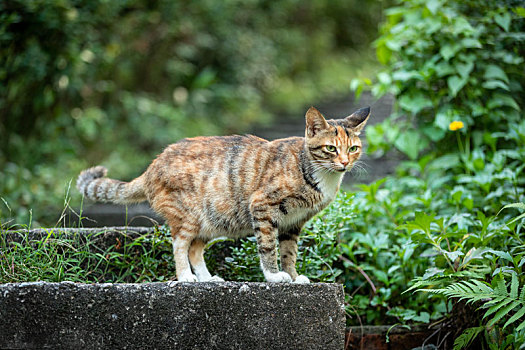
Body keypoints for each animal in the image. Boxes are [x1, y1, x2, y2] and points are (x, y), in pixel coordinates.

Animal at [75, 105, 368, 284]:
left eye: (353, 148)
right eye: (330, 148)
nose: (344, 162)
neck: (316, 172)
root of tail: (152, 167)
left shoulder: (294, 223)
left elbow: (289, 253)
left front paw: (294, 277)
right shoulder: (262, 206)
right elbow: (268, 248)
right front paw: (274, 276)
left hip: (214, 220)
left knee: (195, 249)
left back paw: (206, 279)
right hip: (189, 215)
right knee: (180, 244)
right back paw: (186, 278)